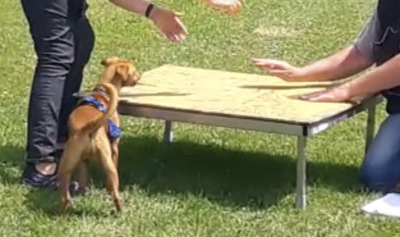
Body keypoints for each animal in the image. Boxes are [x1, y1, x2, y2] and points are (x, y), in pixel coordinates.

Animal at [57, 57, 141, 215]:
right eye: (134, 71)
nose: (140, 75)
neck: (102, 92)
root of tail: (88, 127)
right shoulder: (114, 147)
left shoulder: (84, 162)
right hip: (108, 164)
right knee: (115, 194)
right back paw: (121, 211)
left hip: (67, 165)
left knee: (67, 197)